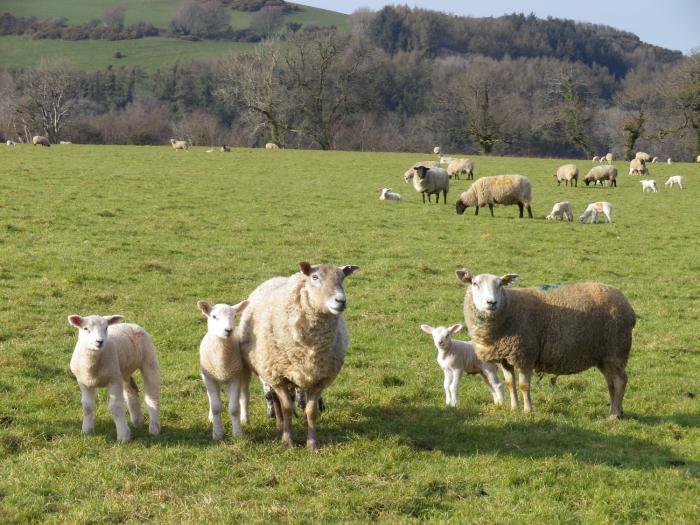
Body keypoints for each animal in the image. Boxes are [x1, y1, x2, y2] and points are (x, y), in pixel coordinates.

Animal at [197, 298, 249, 438]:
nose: (228, 330)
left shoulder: (235, 377)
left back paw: (245, 419)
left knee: (244, 395)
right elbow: (216, 407)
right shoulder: (209, 378)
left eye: (235, 316)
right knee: (211, 399)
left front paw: (237, 433)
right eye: (214, 316)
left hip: (244, 374)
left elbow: (234, 408)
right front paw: (217, 433)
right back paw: (211, 417)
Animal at [239, 262, 360, 450]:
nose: (340, 301)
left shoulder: (320, 378)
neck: (311, 347)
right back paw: (280, 425)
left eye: (342, 278)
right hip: (269, 371)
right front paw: (287, 441)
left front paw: (312, 444)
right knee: (275, 399)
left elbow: (311, 411)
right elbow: (287, 408)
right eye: (315, 277)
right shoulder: (278, 375)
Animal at [452, 270, 636, 418]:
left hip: (616, 349)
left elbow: (524, 385)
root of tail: (628, 306)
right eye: (475, 283)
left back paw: (614, 415)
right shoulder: (505, 358)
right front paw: (514, 408)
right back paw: (617, 410)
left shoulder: (525, 354)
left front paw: (528, 410)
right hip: (604, 355)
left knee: (620, 380)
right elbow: (510, 384)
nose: (491, 303)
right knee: (611, 383)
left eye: (500, 285)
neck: (508, 310)